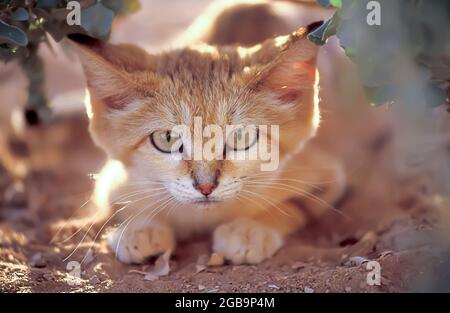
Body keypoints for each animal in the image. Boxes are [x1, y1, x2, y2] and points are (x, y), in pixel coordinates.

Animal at [70, 0, 346, 264]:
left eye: (240, 137)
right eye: (167, 139)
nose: (205, 187)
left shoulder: (327, 177)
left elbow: (294, 205)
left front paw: (250, 229)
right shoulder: (111, 182)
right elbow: (121, 206)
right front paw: (140, 226)